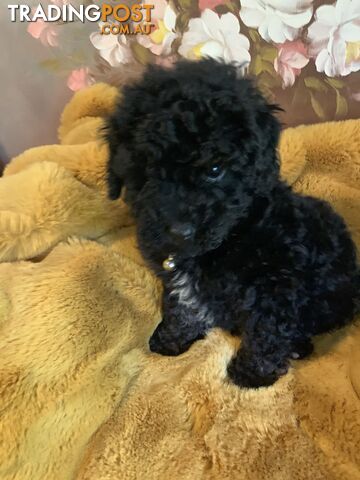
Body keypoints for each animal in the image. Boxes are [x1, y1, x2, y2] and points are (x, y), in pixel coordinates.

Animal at [105, 60, 358, 388]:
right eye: (147, 170)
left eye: (215, 170)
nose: (179, 231)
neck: (232, 235)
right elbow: (182, 307)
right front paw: (170, 340)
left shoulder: (277, 285)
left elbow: (267, 331)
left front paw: (250, 376)